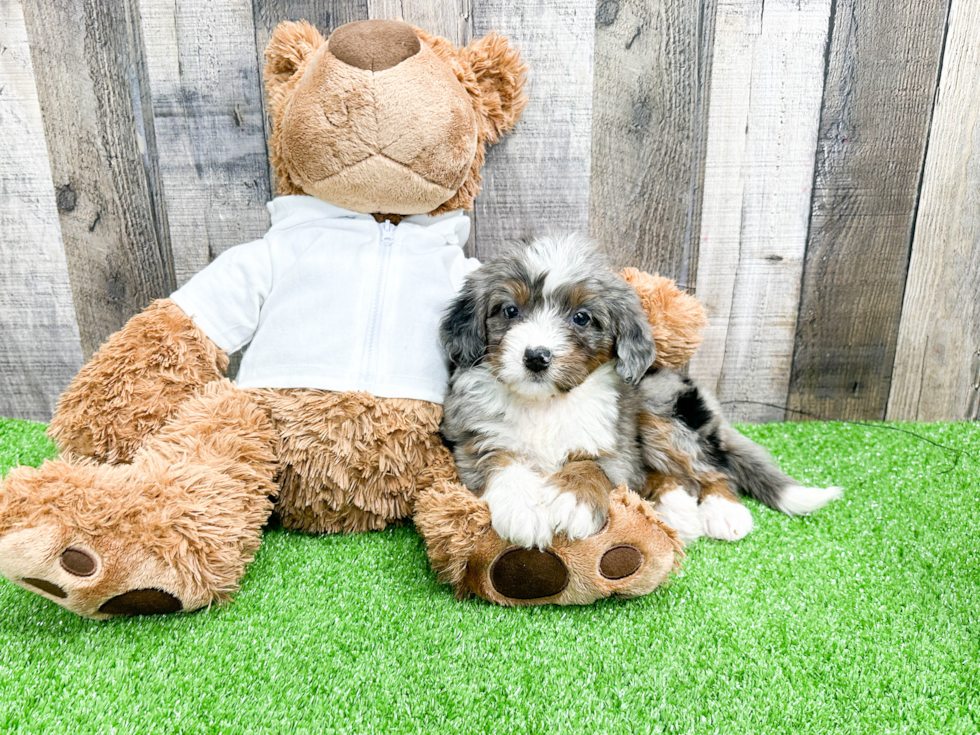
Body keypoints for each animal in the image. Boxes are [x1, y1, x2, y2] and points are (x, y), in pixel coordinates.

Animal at [438, 233, 844, 548]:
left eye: (581, 318)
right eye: (509, 310)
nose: (536, 357)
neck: (546, 404)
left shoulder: (613, 445)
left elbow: (590, 466)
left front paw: (572, 501)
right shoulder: (476, 440)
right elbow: (503, 463)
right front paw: (524, 509)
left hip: (661, 411)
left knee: (712, 468)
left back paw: (723, 511)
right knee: (670, 476)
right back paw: (678, 511)